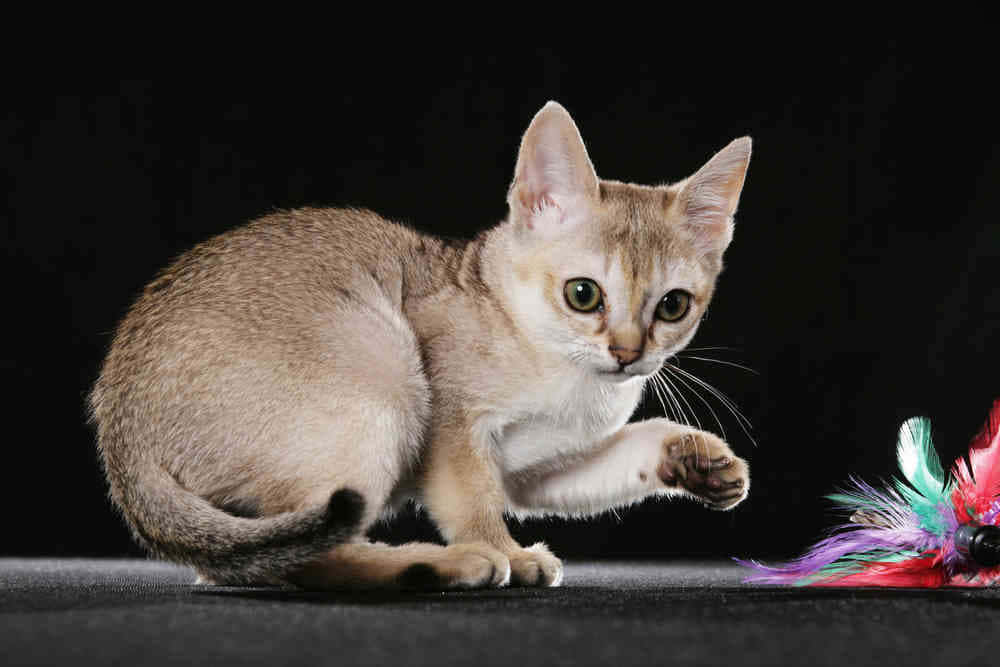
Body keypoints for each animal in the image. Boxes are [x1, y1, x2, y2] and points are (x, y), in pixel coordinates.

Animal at [92, 99, 752, 588]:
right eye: (583, 295)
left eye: (673, 306)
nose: (627, 353)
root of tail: (122, 440)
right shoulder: (454, 425)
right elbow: (472, 499)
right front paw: (504, 549)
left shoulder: (534, 470)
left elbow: (609, 456)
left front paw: (693, 457)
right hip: (385, 372)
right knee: (314, 558)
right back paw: (438, 564)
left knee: (253, 563)